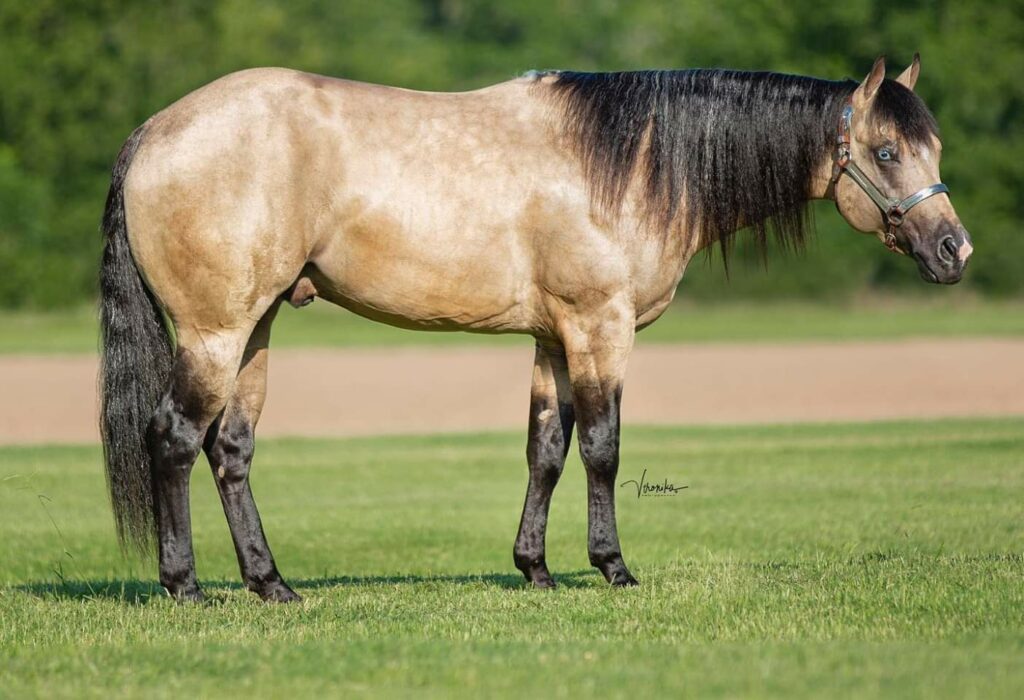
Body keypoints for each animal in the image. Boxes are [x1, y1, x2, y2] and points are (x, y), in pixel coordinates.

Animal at [99, 55, 972, 602]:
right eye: (886, 151)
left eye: (932, 146)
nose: (953, 250)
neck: (631, 163)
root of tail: (153, 131)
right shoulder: (599, 327)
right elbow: (602, 449)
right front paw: (612, 568)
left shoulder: (554, 339)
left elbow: (547, 449)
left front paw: (536, 570)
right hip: (215, 331)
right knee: (174, 438)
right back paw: (185, 586)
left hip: (257, 328)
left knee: (231, 450)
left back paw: (271, 584)